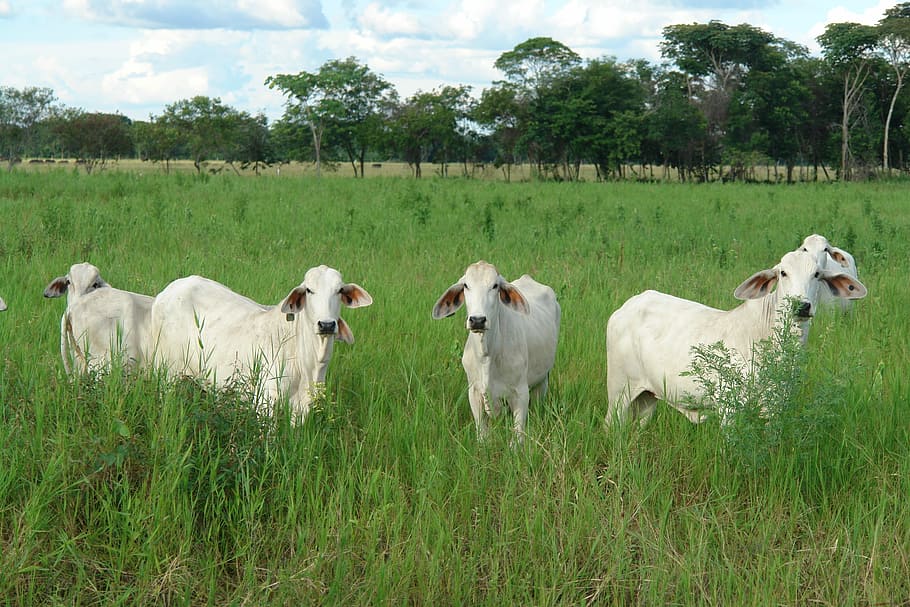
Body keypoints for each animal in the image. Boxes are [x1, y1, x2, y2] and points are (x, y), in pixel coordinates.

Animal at [149, 265, 373, 422]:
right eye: (309, 290)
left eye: (339, 290)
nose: (326, 324)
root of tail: (167, 291)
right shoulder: (265, 404)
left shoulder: (301, 409)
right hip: (166, 372)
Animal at [432, 261, 561, 443]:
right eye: (466, 285)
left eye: (495, 286)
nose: (477, 320)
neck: (486, 355)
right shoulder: (474, 391)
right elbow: (482, 435)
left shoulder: (521, 393)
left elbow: (517, 437)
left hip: (542, 381)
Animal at [606, 249, 867, 427]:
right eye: (783, 273)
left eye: (817, 274)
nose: (801, 306)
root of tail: (628, 305)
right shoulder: (730, 409)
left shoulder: (776, 408)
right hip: (619, 391)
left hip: (647, 398)